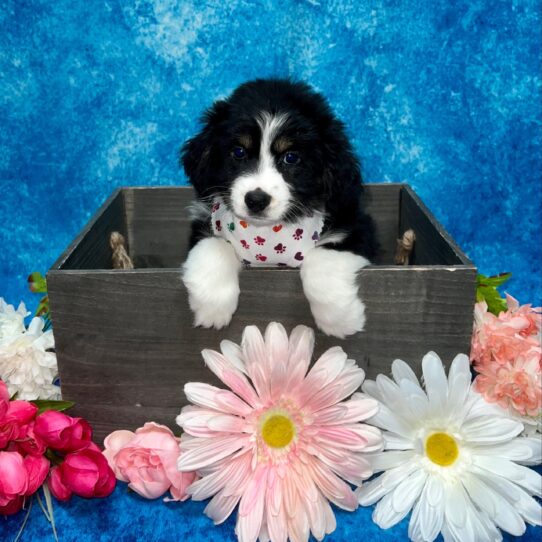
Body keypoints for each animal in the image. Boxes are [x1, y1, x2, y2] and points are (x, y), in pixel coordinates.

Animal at [181, 78, 376, 338]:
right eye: (238, 152)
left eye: (291, 157)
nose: (256, 200)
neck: (267, 236)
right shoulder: (205, 223)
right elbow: (214, 245)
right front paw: (212, 309)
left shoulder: (355, 227)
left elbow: (323, 260)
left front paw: (340, 321)